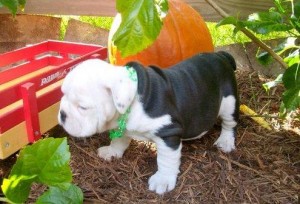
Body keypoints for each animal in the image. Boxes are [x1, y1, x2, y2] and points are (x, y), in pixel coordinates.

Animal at [58, 51, 239, 194]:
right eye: (63, 94)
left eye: (83, 107)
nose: (62, 114)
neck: (133, 100)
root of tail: (220, 55)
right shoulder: (121, 125)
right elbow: (119, 140)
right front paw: (112, 151)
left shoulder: (168, 132)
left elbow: (166, 159)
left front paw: (163, 180)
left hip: (229, 102)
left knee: (229, 123)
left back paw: (225, 141)